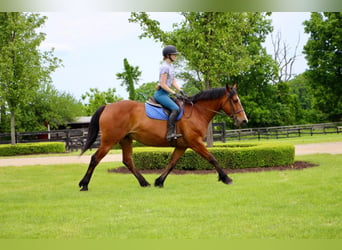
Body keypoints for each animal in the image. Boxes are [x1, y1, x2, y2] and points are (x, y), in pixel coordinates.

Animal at [79, 83, 247, 190]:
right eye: (235, 100)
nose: (244, 120)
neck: (197, 111)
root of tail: (107, 106)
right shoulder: (195, 143)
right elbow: (212, 158)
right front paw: (226, 178)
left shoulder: (182, 146)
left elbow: (172, 163)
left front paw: (159, 181)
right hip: (109, 141)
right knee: (95, 158)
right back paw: (84, 184)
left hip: (126, 139)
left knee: (127, 161)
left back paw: (144, 183)